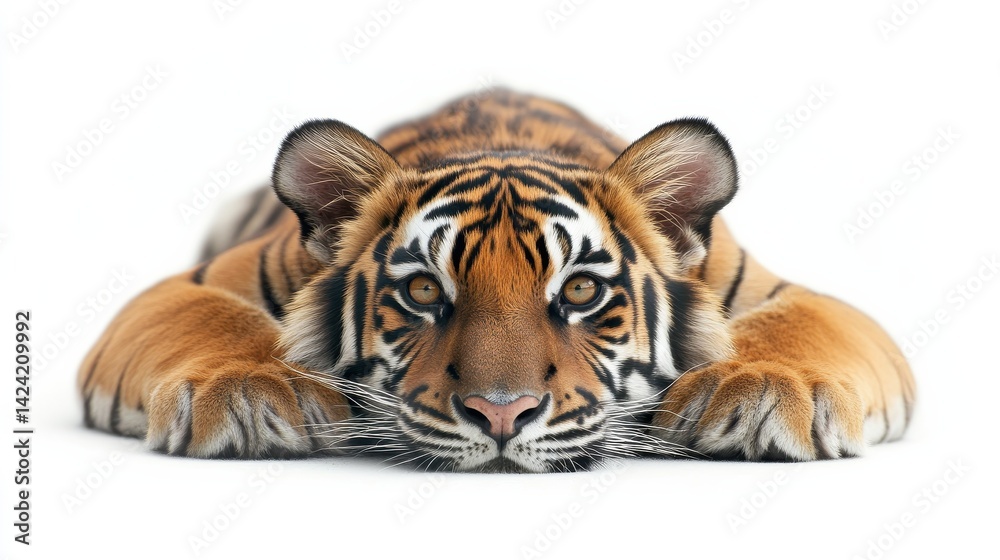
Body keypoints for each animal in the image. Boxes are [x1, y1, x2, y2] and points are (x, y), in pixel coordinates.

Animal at [77, 90, 915, 472]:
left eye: (580, 293)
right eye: (423, 293)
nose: (501, 414)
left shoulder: (794, 296)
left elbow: (799, 325)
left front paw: (766, 393)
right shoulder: (182, 287)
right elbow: (212, 318)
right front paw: (253, 391)